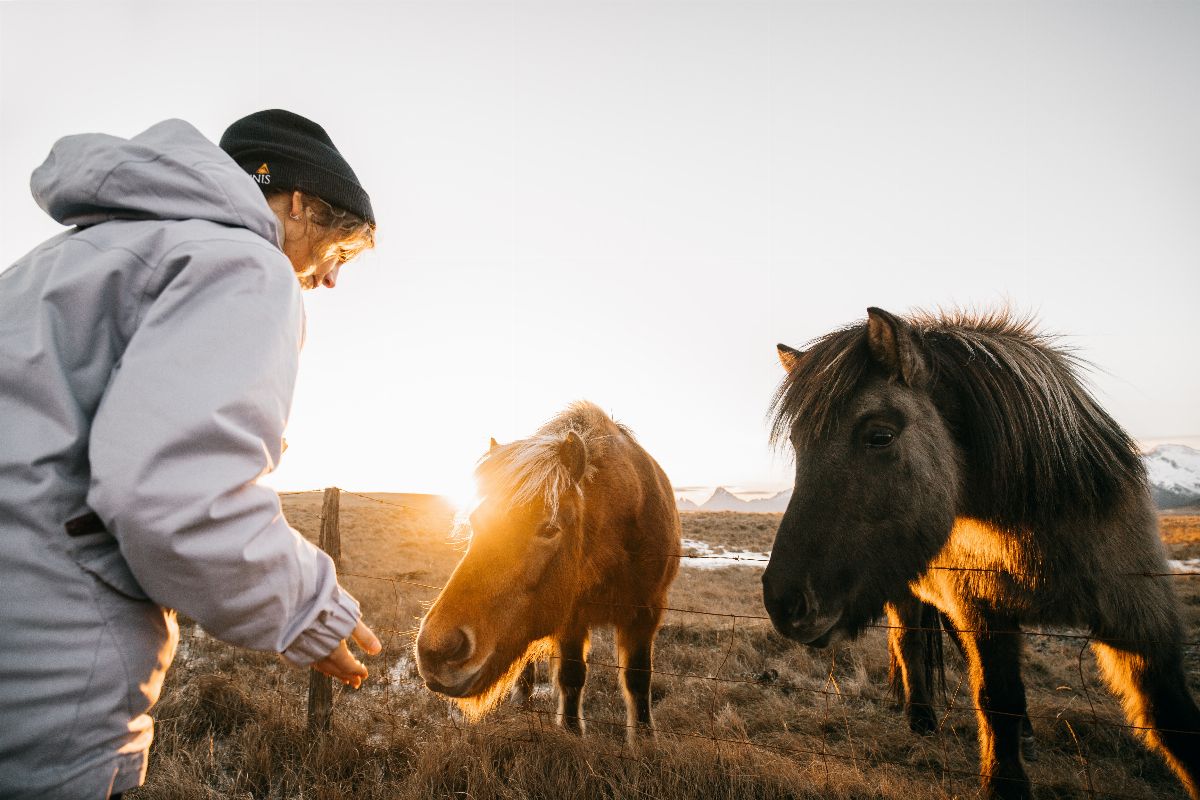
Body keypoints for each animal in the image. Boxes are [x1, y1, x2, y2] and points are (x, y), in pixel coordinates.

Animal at [415, 402, 681, 743]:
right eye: (475, 522)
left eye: (550, 528)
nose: (436, 651)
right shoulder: (571, 616)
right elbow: (571, 675)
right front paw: (571, 730)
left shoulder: (646, 612)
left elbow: (638, 678)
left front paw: (644, 739)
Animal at [763, 309, 1195, 800]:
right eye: (797, 444)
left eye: (880, 436)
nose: (785, 603)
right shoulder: (984, 613)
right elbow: (995, 699)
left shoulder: (1141, 617)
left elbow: (1174, 721)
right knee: (909, 643)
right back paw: (921, 717)